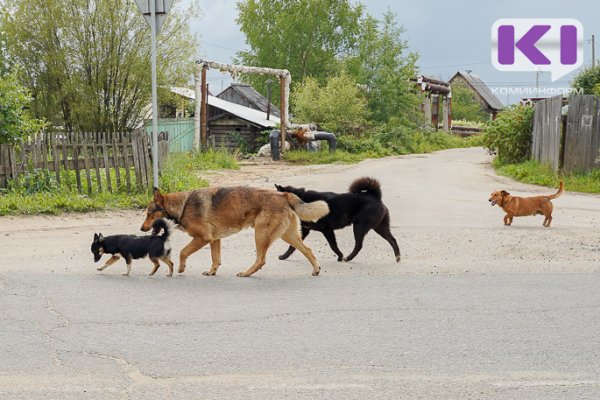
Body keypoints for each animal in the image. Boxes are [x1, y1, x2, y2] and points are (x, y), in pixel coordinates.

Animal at [139, 187, 328, 276]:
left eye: (149, 214)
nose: (141, 229)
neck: (182, 206)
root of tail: (284, 195)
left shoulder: (202, 239)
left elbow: (183, 252)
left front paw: (181, 268)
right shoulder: (214, 240)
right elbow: (215, 259)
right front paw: (212, 272)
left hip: (261, 235)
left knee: (261, 260)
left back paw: (246, 273)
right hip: (288, 236)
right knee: (307, 250)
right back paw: (316, 269)